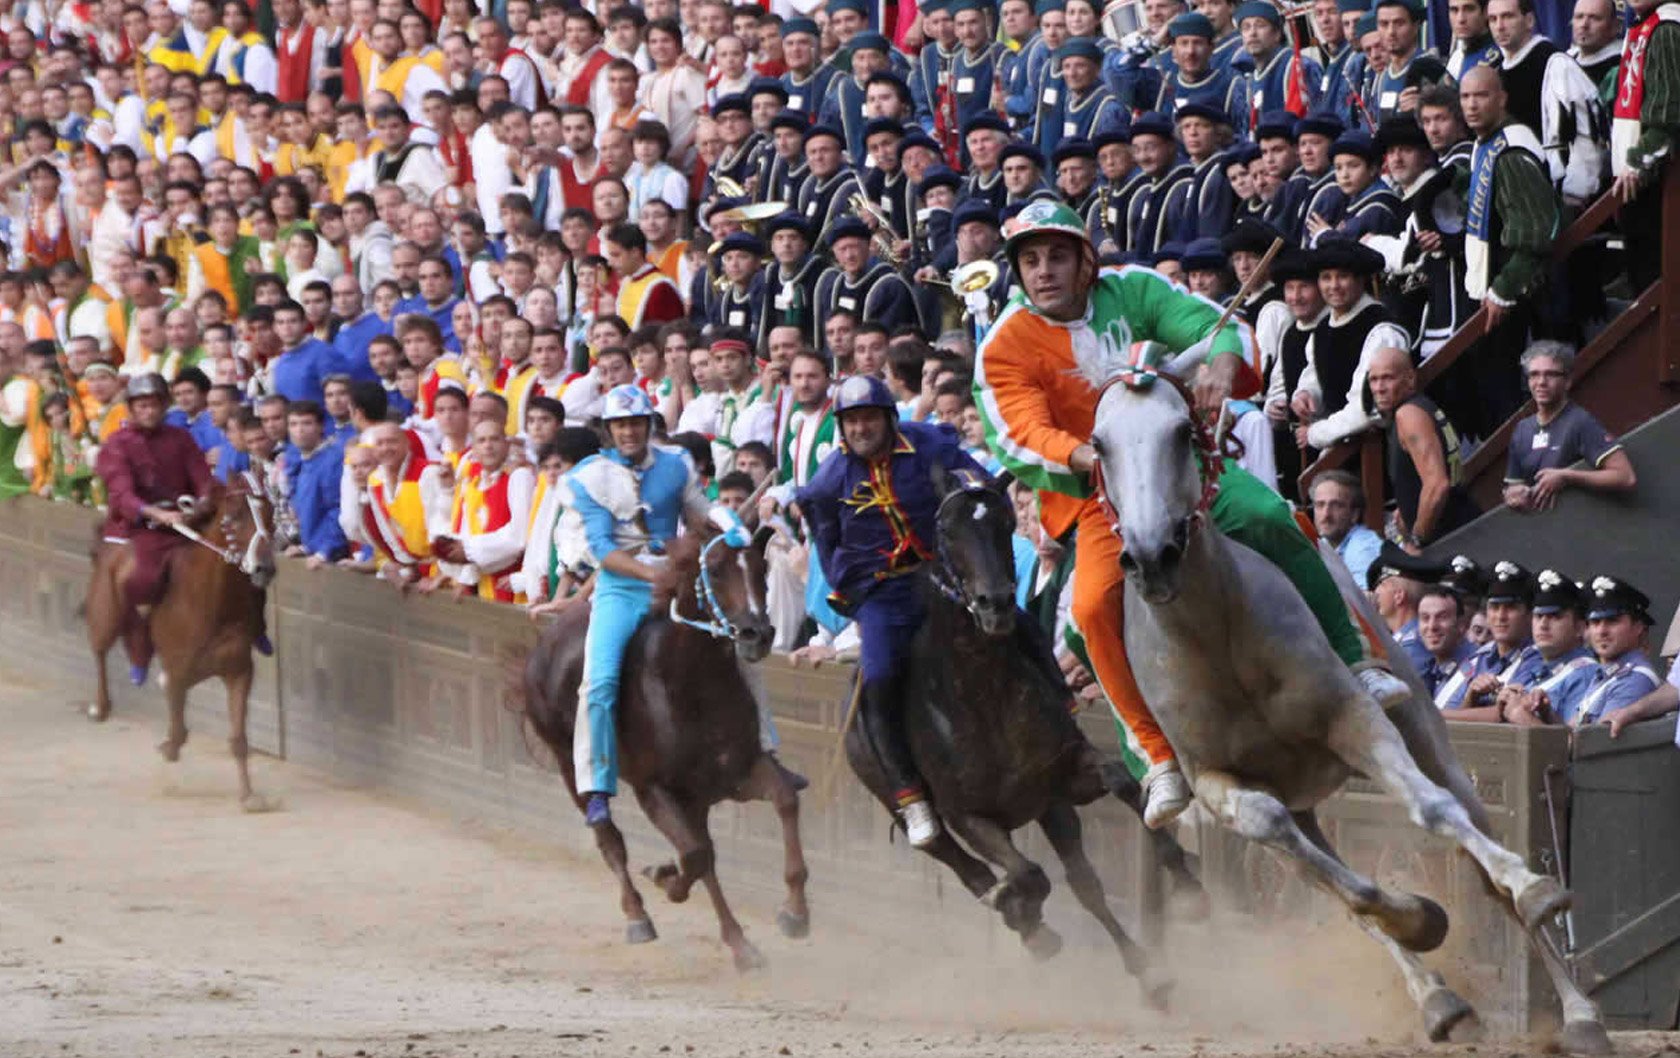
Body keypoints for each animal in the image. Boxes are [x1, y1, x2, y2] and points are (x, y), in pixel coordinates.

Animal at [83, 476, 280, 816]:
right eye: (234, 517)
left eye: (270, 515)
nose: (264, 568)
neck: (211, 603)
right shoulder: (178, 671)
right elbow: (176, 728)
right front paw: (169, 748)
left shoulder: (239, 670)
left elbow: (238, 738)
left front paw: (249, 796)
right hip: (105, 612)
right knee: (99, 649)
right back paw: (101, 705)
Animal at [524, 527, 813, 974]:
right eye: (715, 569)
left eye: (761, 568)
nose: (757, 634)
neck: (692, 683)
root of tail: (545, 643)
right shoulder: (654, 789)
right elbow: (694, 855)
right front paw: (664, 878)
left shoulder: (736, 772)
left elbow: (783, 800)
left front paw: (795, 913)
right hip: (571, 767)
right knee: (611, 840)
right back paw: (638, 916)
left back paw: (739, 943)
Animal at [846, 466, 1202, 1007]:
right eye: (946, 529)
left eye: (1005, 521)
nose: (994, 604)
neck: (981, 692)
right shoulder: (970, 816)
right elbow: (1027, 874)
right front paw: (1019, 907)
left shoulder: (1062, 776)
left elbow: (1119, 783)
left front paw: (1183, 878)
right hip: (899, 801)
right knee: (959, 862)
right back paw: (1020, 914)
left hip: (1048, 808)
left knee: (1083, 882)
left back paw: (1148, 973)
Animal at [1081, 352, 1606, 1054]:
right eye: (1100, 445)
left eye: (1180, 432)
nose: (1150, 556)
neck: (1215, 635)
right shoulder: (1219, 785)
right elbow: (1334, 881)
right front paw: (1420, 920)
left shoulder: (1352, 719)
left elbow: (1433, 812)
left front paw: (1525, 889)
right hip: (1298, 800)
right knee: (1324, 870)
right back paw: (1437, 998)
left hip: (1425, 733)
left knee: (1478, 856)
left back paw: (1578, 1010)